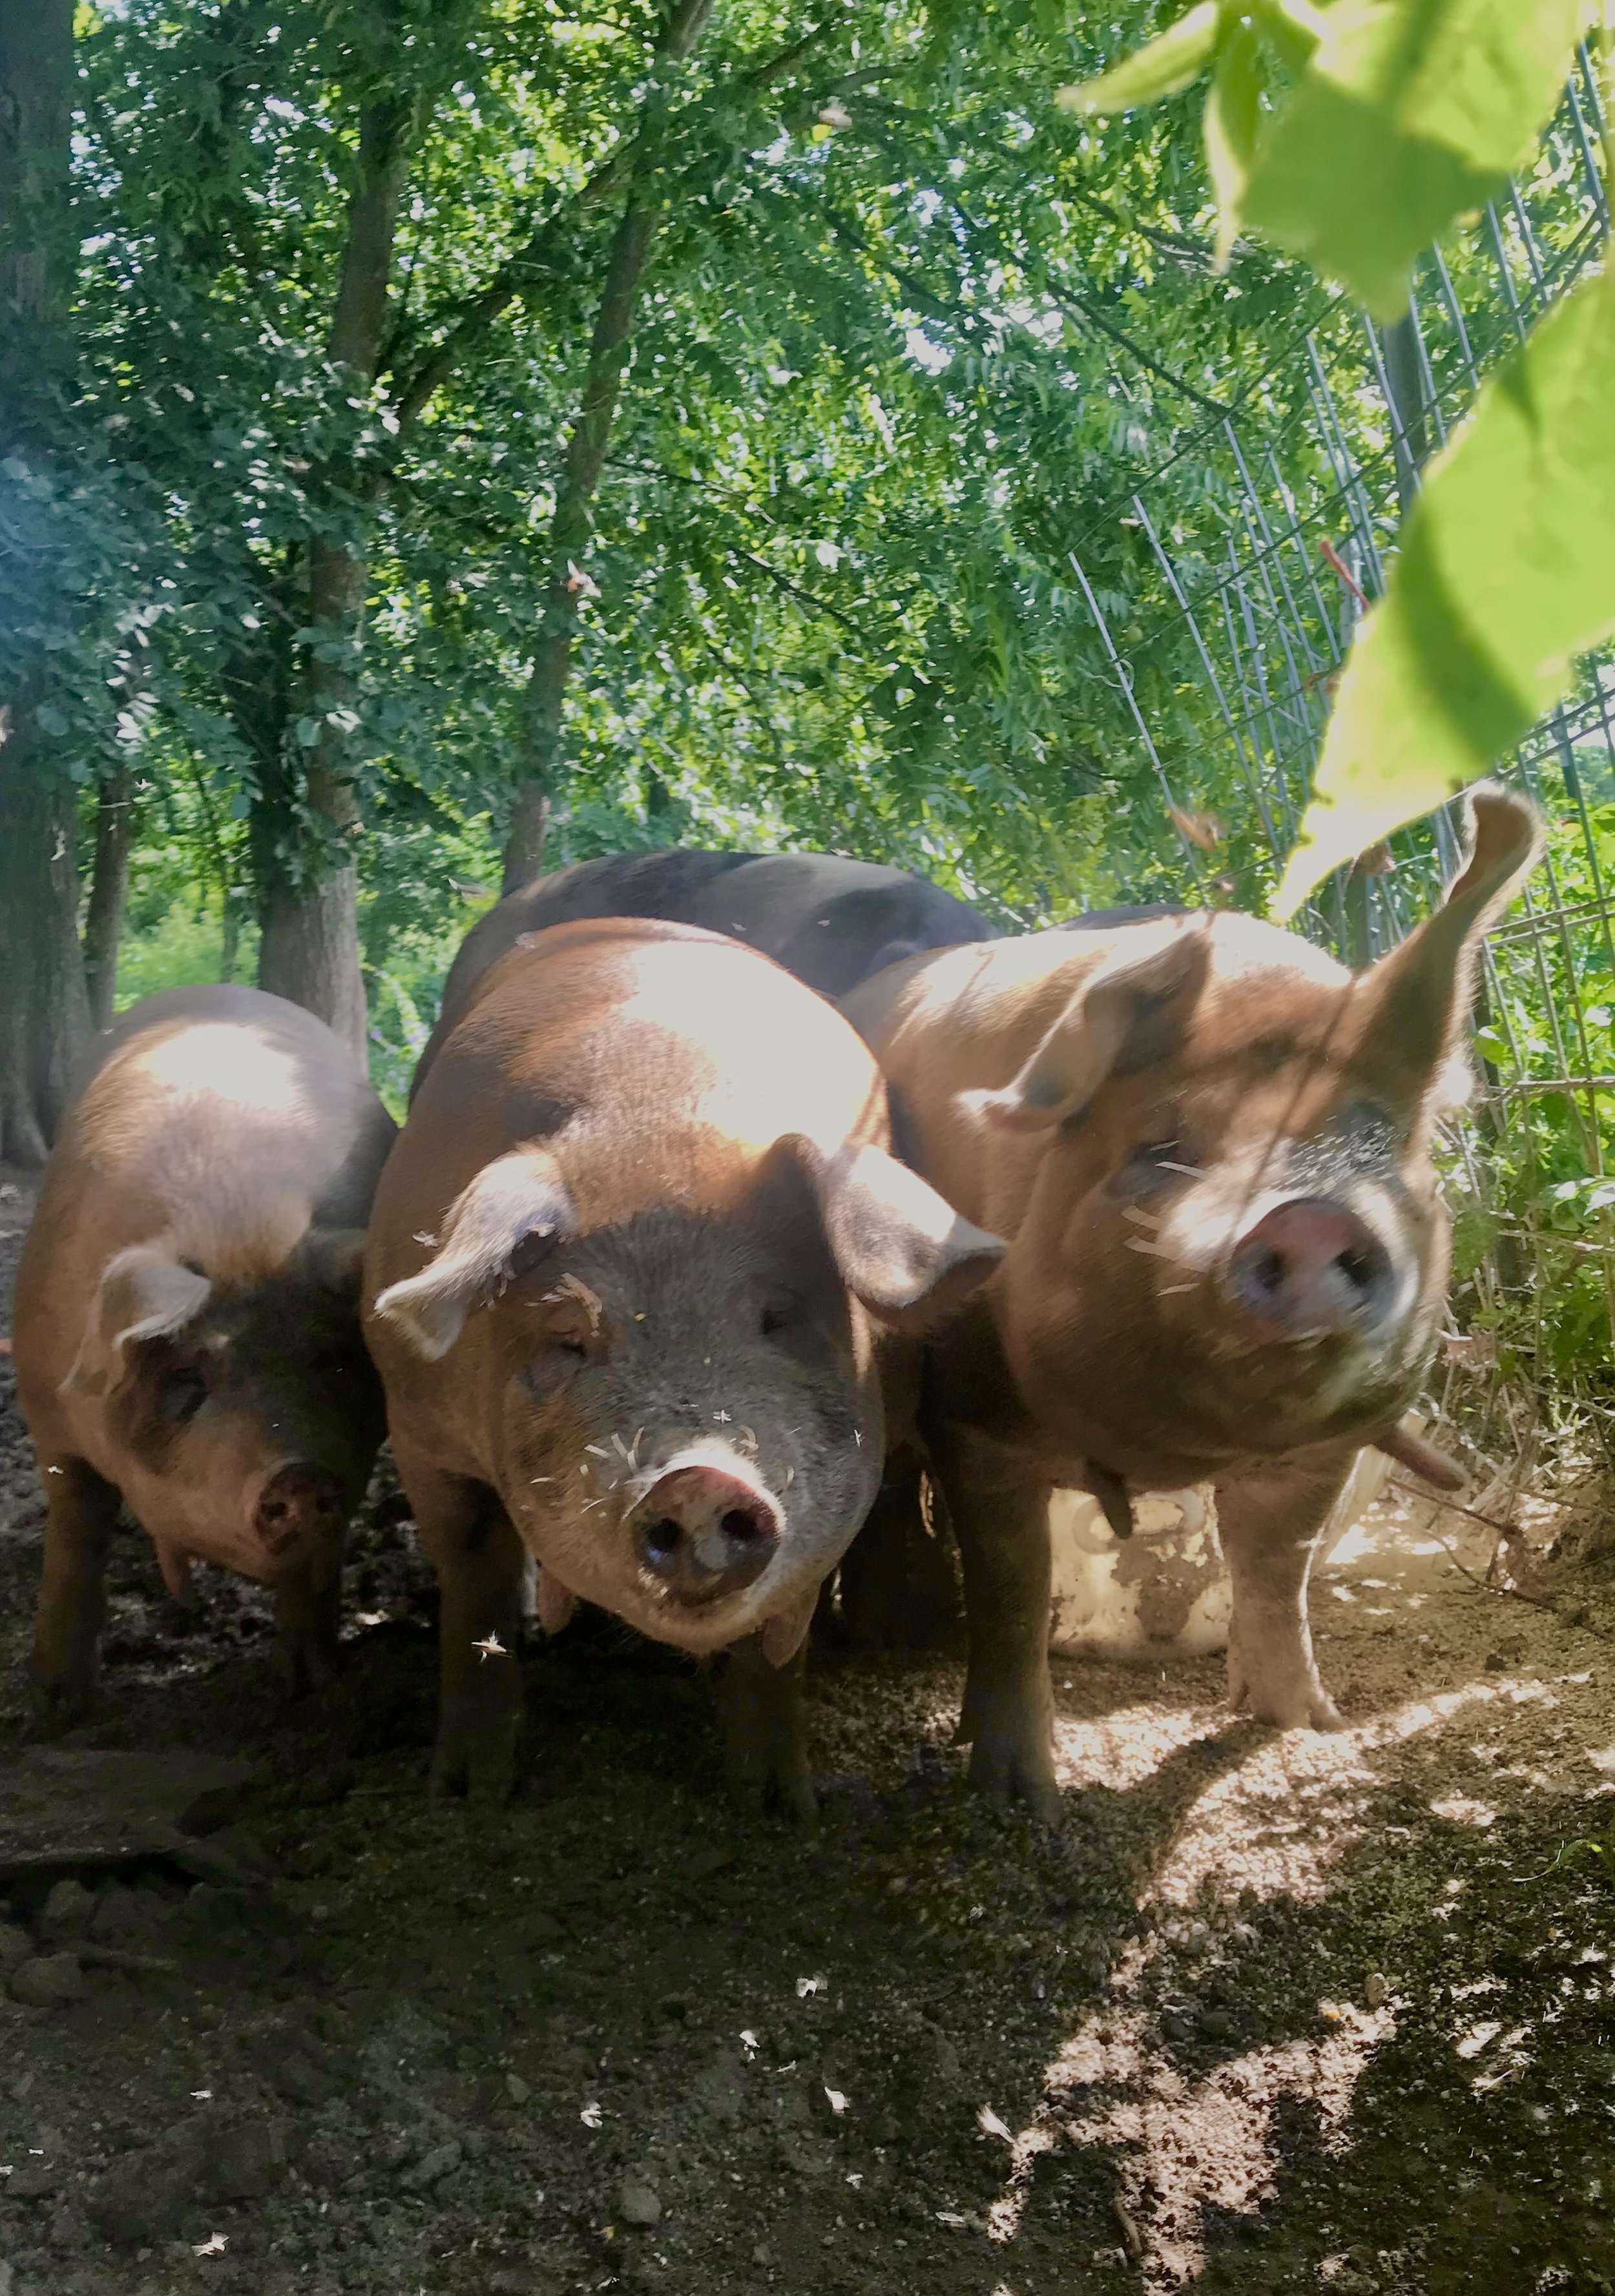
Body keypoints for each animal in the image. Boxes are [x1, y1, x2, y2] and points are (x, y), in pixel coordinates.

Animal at [12, 986, 397, 1722]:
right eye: (190, 1375)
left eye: (335, 1361)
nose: (297, 1475)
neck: (237, 1233)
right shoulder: (46, 1406)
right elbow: (75, 1532)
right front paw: (54, 1709)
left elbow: (311, 1569)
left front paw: (306, 1686)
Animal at [364, 916, 1003, 1813]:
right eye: (569, 1337)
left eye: (778, 1319)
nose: (697, 1478)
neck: (654, 1117)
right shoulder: (419, 1430)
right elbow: (471, 1588)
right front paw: (466, 1795)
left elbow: (779, 1643)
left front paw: (778, 1807)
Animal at [841, 786, 1542, 1818]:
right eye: (1164, 1149)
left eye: (1375, 1142)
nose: (1310, 1212)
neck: (1171, 1449)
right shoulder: (973, 1417)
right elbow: (1013, 1591)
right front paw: (1016, 1799)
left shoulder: (1321, 1451)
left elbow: (1276, 1566)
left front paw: (1302, 1724)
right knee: (889, 1491)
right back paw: (890, 1632)